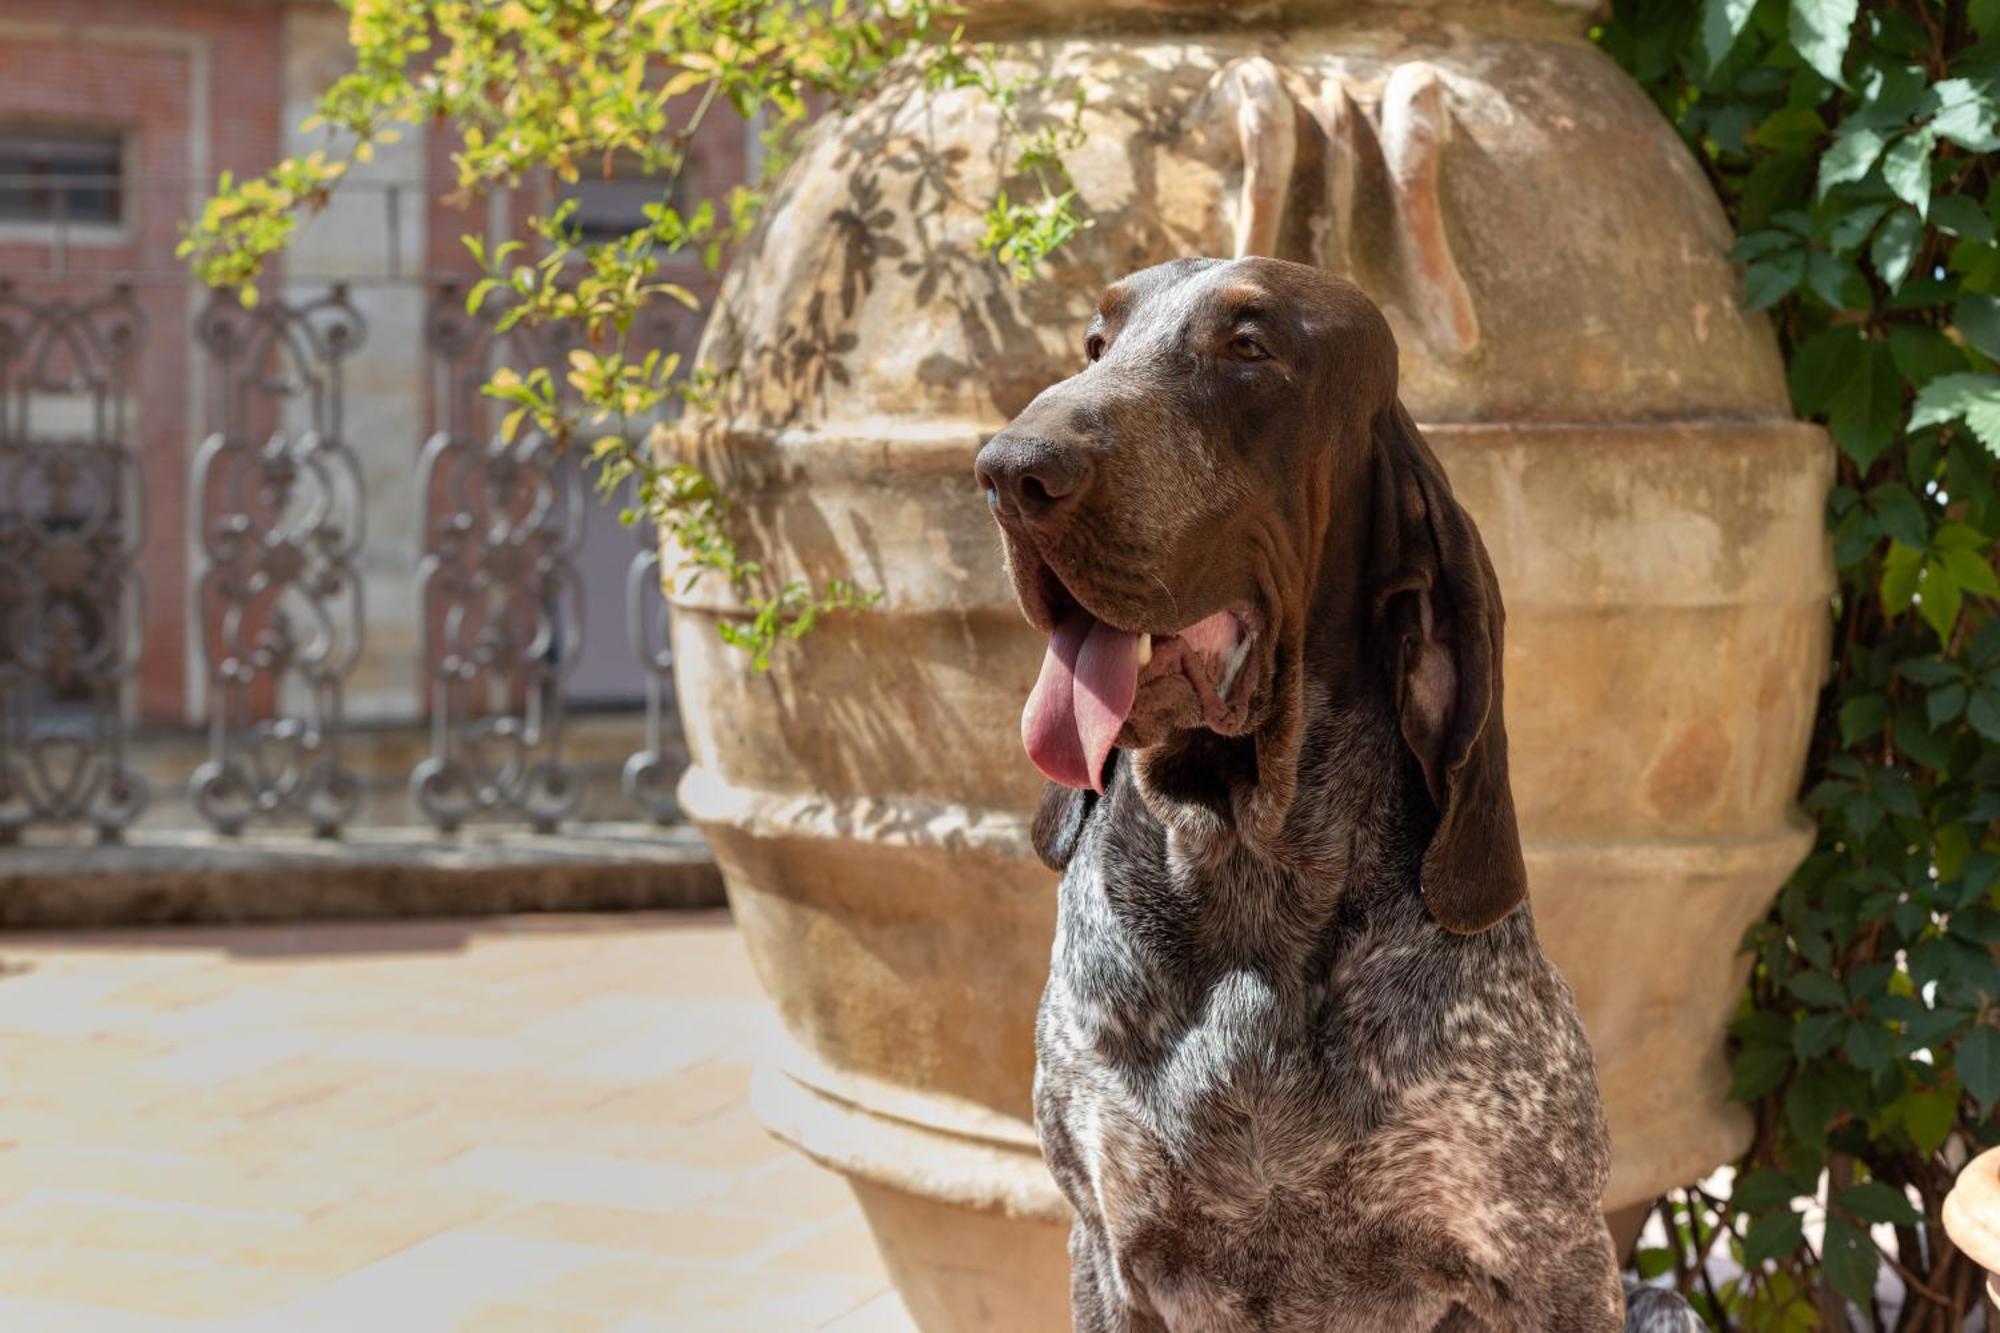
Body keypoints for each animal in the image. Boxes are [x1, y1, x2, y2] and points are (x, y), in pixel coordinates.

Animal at [976, 254, 1696, 1320]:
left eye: (1250, 347)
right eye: (1096, 346)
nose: (1007, 470)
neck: (1243, 871)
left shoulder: (1554, 1262)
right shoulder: (1104, 1251)